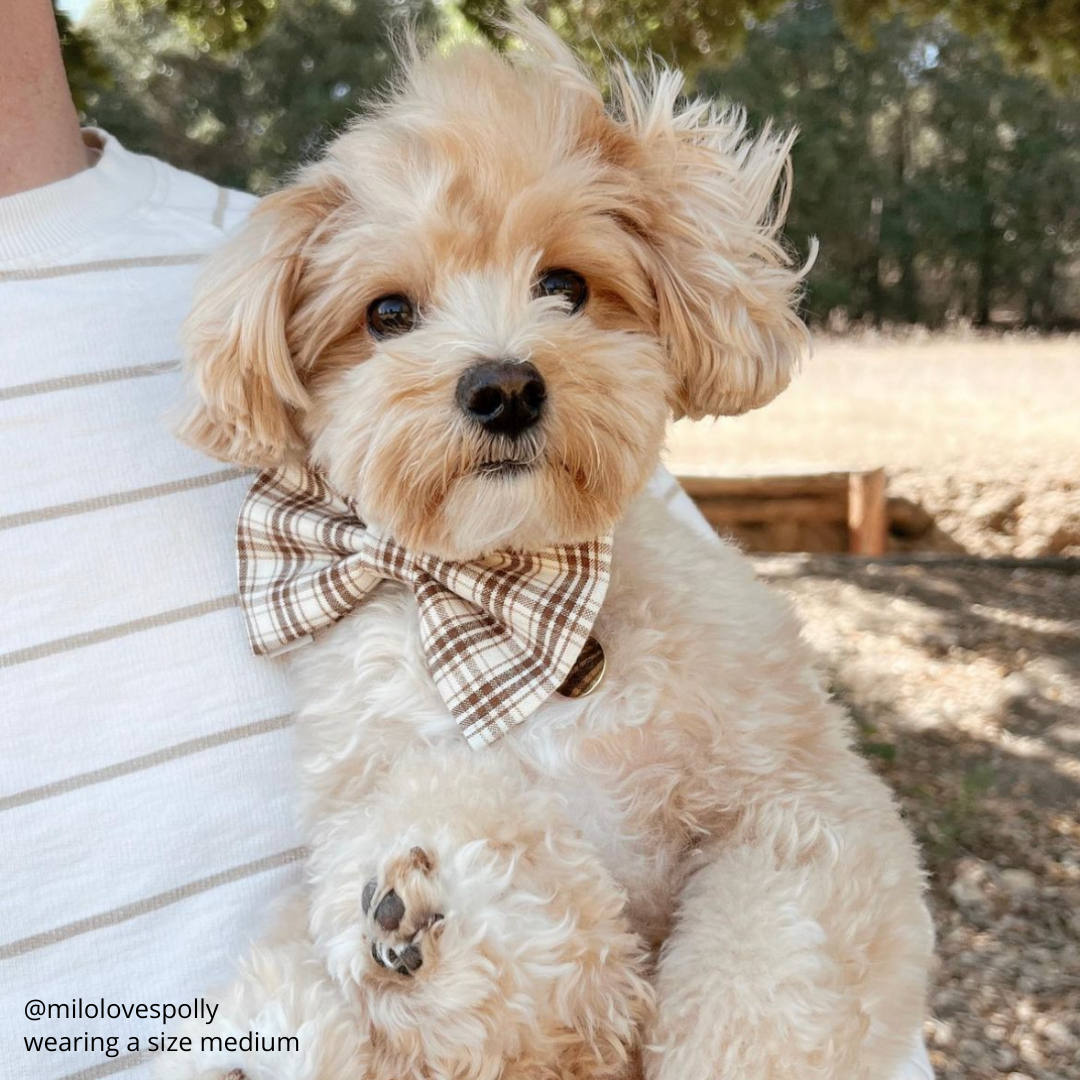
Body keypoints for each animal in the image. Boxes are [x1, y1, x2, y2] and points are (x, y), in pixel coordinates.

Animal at [157, 14, 928, 1080]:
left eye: (565, 284)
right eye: (387, 313)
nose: (505, 388)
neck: (509, 595)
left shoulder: (803, 800)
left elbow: (764, 956)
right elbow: (556, 973)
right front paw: (429, 912)